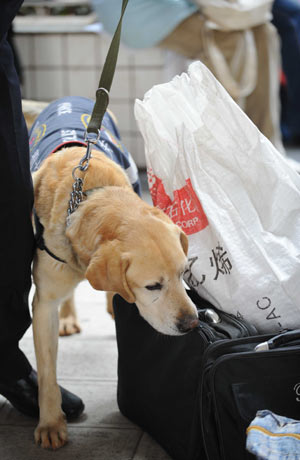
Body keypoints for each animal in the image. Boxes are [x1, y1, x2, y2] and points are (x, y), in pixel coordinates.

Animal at [29, 96, 200, 450]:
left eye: (183, 274)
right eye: (153, 286)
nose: (192, 324)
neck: (88, 198)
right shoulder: (43, 303)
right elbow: (48, 373)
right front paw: (50, 423)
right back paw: (69, 317)